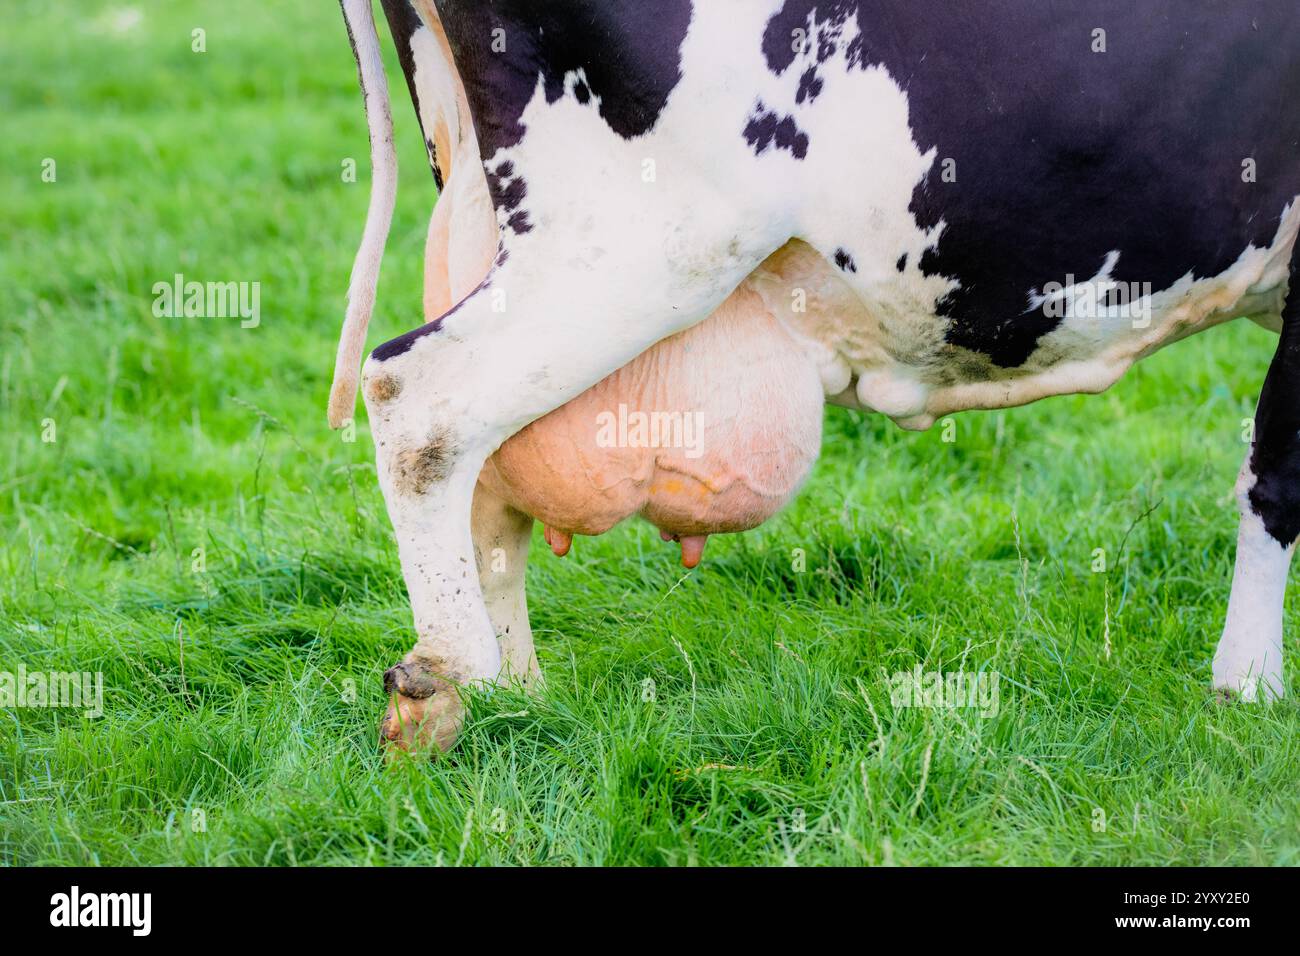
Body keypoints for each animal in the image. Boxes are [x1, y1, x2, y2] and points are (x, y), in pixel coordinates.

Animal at [332, 0, 1300, 754]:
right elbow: (1278, 476)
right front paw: (1250, 689)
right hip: (643, 242)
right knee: (418, 400)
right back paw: (447, 685)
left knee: (488, 476)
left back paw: (520, 696)